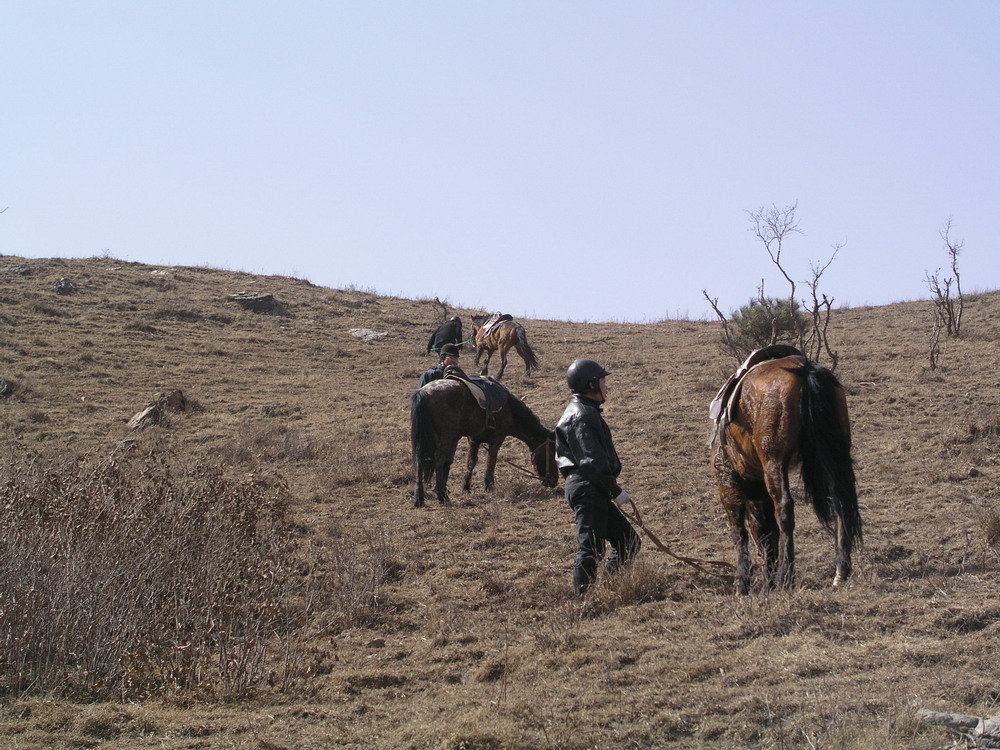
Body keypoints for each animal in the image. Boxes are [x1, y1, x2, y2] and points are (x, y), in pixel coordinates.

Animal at [410, 378, 560, 508]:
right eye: (552, 452)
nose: (554, 481)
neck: (509, 408)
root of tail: (424, 392)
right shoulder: (498, 436)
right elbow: (491, 458)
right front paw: (489, 485)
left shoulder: (474, 439)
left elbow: (472, 461)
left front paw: (466, 486)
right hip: (446, 437)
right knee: (439, 459)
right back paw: (442, 496)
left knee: (420, 460)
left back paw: (419, 498)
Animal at [712, 350, 860, 596]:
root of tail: (805, 368)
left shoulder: (729, 483)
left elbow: (740, 532)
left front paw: (743, 583)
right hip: (834, 456)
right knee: (840, 503)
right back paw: (840, 571)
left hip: (775, 462)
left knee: (784, 509)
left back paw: (786, 577)